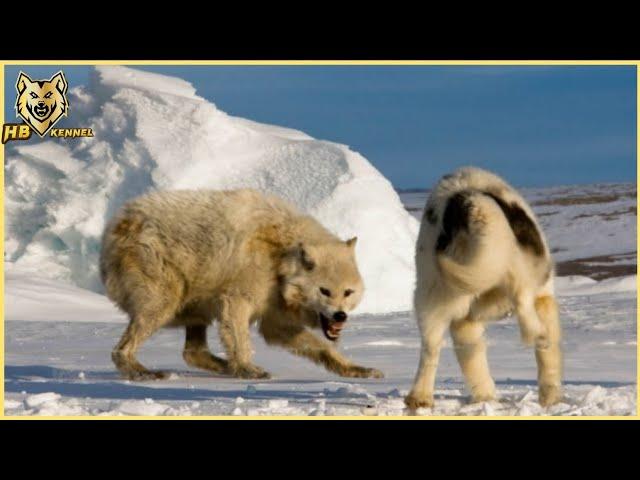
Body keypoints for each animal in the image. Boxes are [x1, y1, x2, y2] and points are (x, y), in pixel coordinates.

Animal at [404, 168, 560, 408]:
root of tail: (469, 200)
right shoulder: (543, 295)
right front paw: (551, 398)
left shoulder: (463, 318)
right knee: (523, 304)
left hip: (433, 295)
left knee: (432, 346)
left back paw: (422, 398)